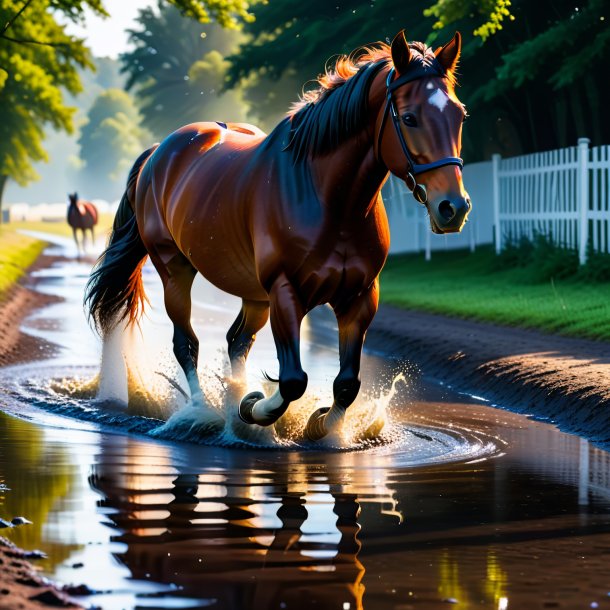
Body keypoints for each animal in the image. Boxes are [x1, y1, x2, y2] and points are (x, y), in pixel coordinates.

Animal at [83, 29, 468, 436]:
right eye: (409, 118)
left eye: (459, 114)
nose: (453, 207)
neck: (326, 198)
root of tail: (160, 152)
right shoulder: (285, 292)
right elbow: (293, 379)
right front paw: (254, 408)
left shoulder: (360, 297)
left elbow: (347, 383)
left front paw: (321, 427)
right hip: (176, 272)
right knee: (186, 344)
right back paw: (203, 411)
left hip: (254, 295)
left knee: (236, 342)